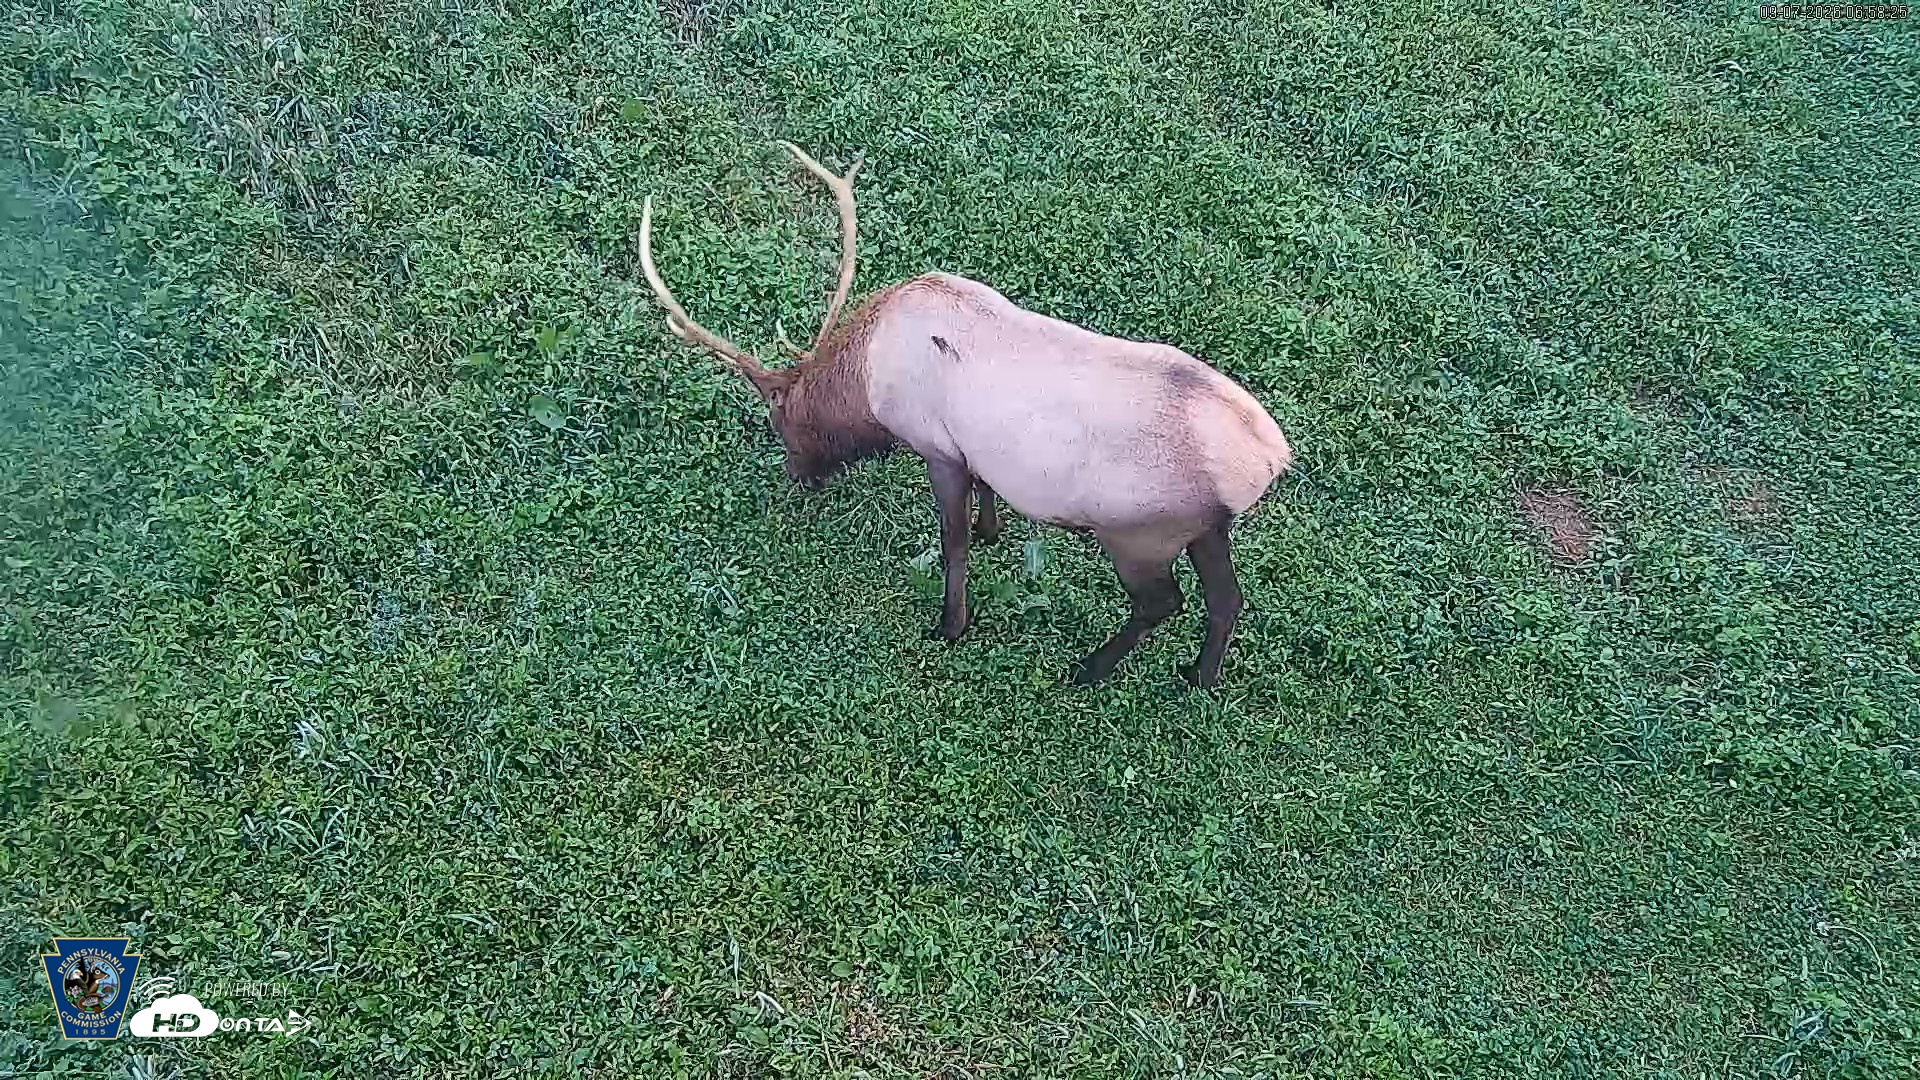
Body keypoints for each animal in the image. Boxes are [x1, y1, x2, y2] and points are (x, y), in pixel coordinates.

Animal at [637, 143, 1294, 687]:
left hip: (1141, 533)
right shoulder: (971, 449)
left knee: (1163, 603)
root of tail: (1268, 460)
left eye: (782, 424)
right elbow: (986, 498)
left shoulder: (935, 447)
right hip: (1206, 526)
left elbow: (951, 542)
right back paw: (1199, 678)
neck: (867, 384)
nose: (800, 477)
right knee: (1226, 600)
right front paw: (991, 530)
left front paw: (950, 625)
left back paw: (1089, 669)